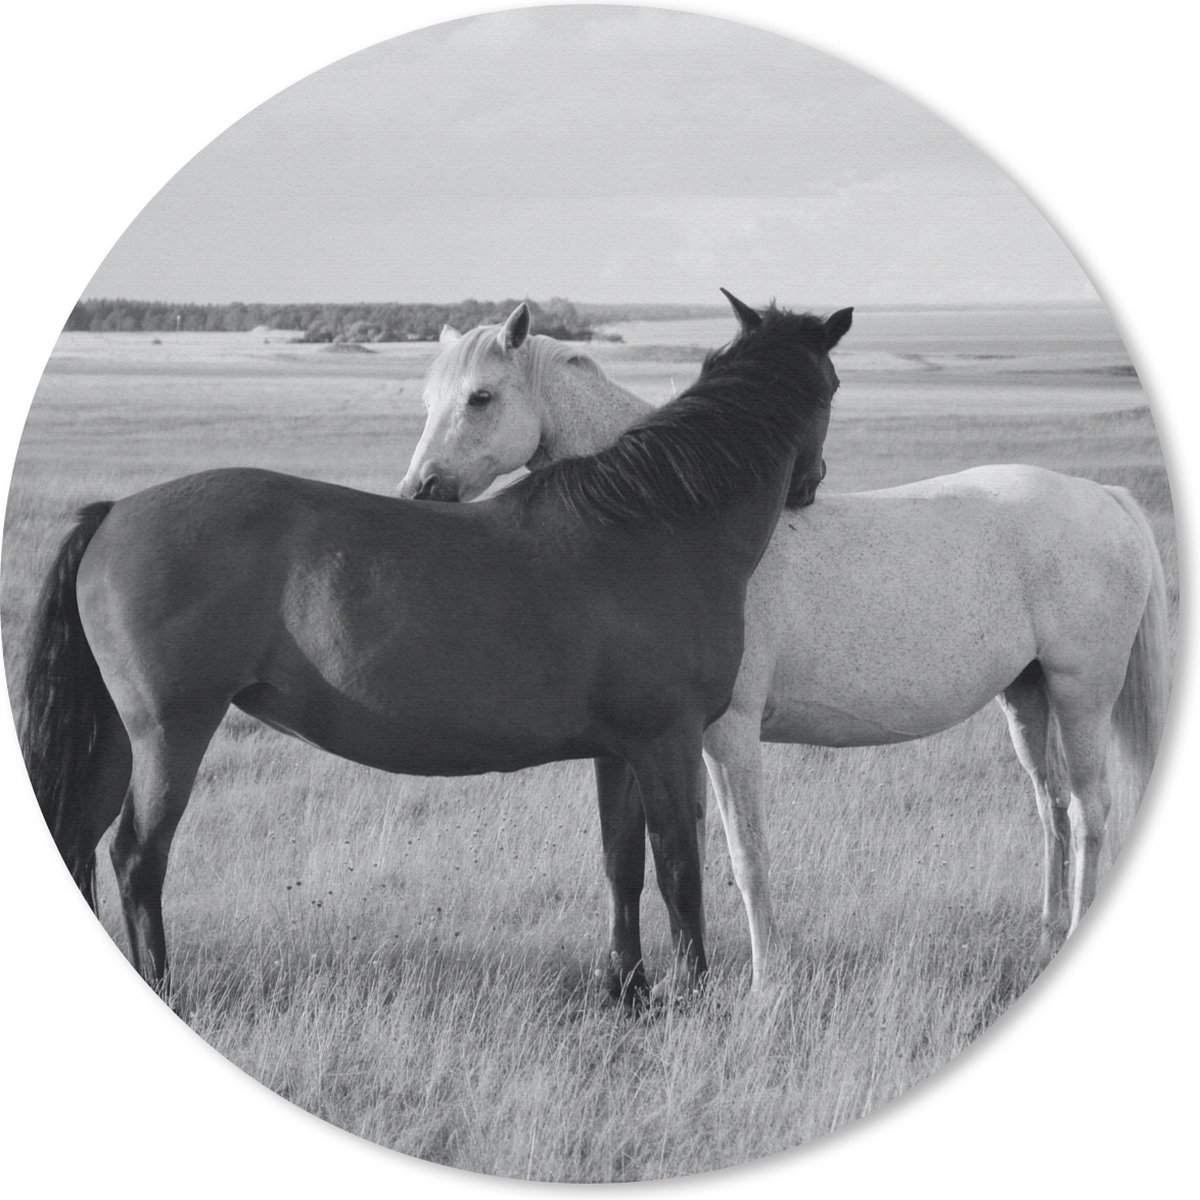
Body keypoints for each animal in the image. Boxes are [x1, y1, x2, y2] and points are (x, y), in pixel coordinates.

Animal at [19, 291, 842, 1005]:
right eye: (834, 385)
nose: (811, 485)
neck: (654, 524)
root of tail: (113, 513)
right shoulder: (668, 740)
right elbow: (679, 868)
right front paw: (693, 996)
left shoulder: (621, 750)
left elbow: (623, 865)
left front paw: (629, 991)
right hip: (171, 733)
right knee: (137, 857)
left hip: (115, 739)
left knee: (84, 842)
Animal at [400, 299, 1170, 994]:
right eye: (429, 399)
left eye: (480, 396)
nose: (419, 491)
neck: (671, 517)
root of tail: (1105, 496)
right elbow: (652, 853)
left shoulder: (727, 735)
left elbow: (744, 856)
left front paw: (767, 980)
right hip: (1027, 694)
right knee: (1050, 804)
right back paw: (1046, 935)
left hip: (1083, 691)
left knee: (1089, 808)